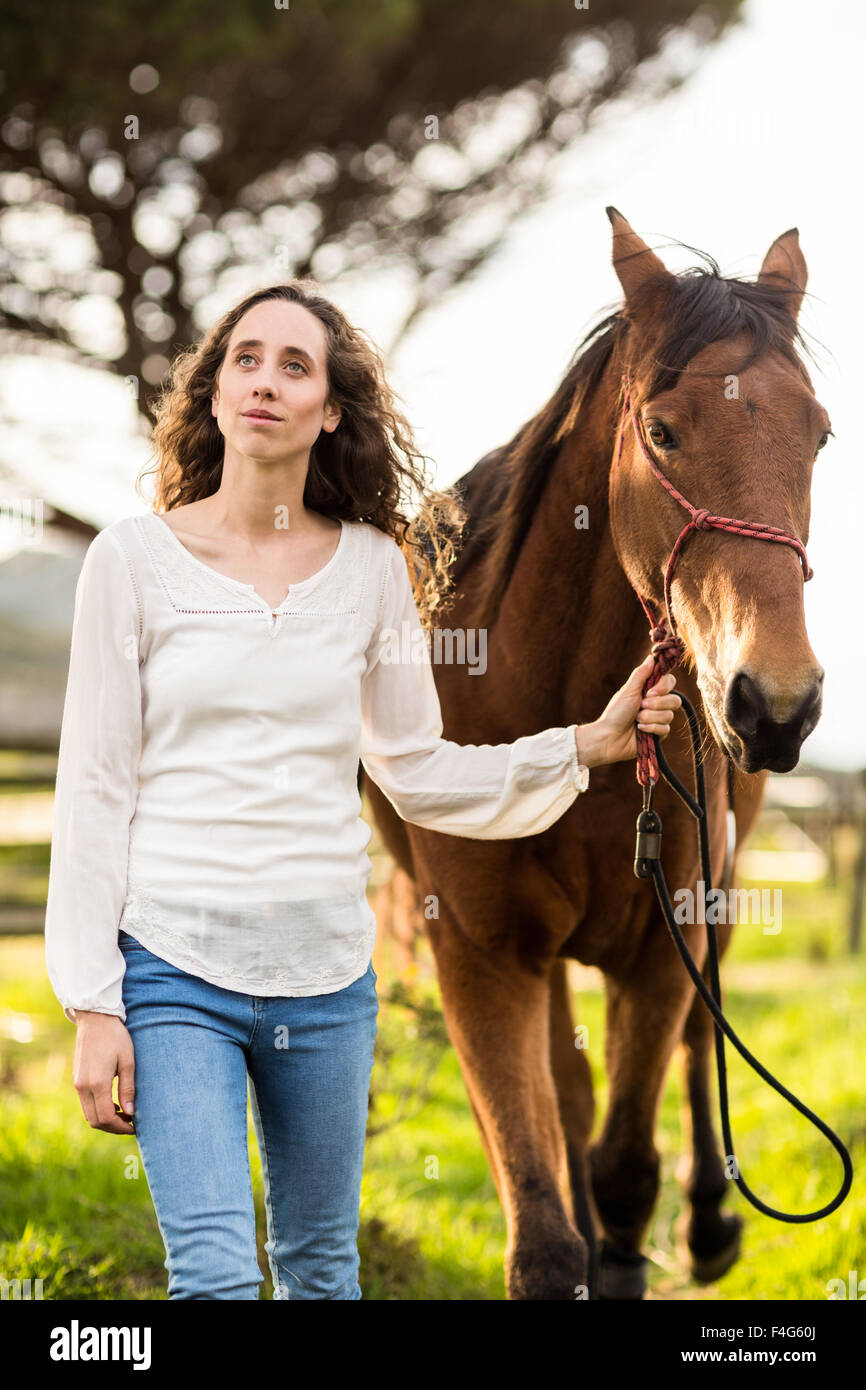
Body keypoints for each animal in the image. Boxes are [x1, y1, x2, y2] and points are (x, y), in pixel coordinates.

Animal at [361, 211, 828, 1295]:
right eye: (662, 432)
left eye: (820, 433)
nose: (776, 703)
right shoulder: (482, 956)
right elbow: (543, 1221)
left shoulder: (664, 941)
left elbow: (624, 1171)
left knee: (698, 1041)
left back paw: (710, 1219)